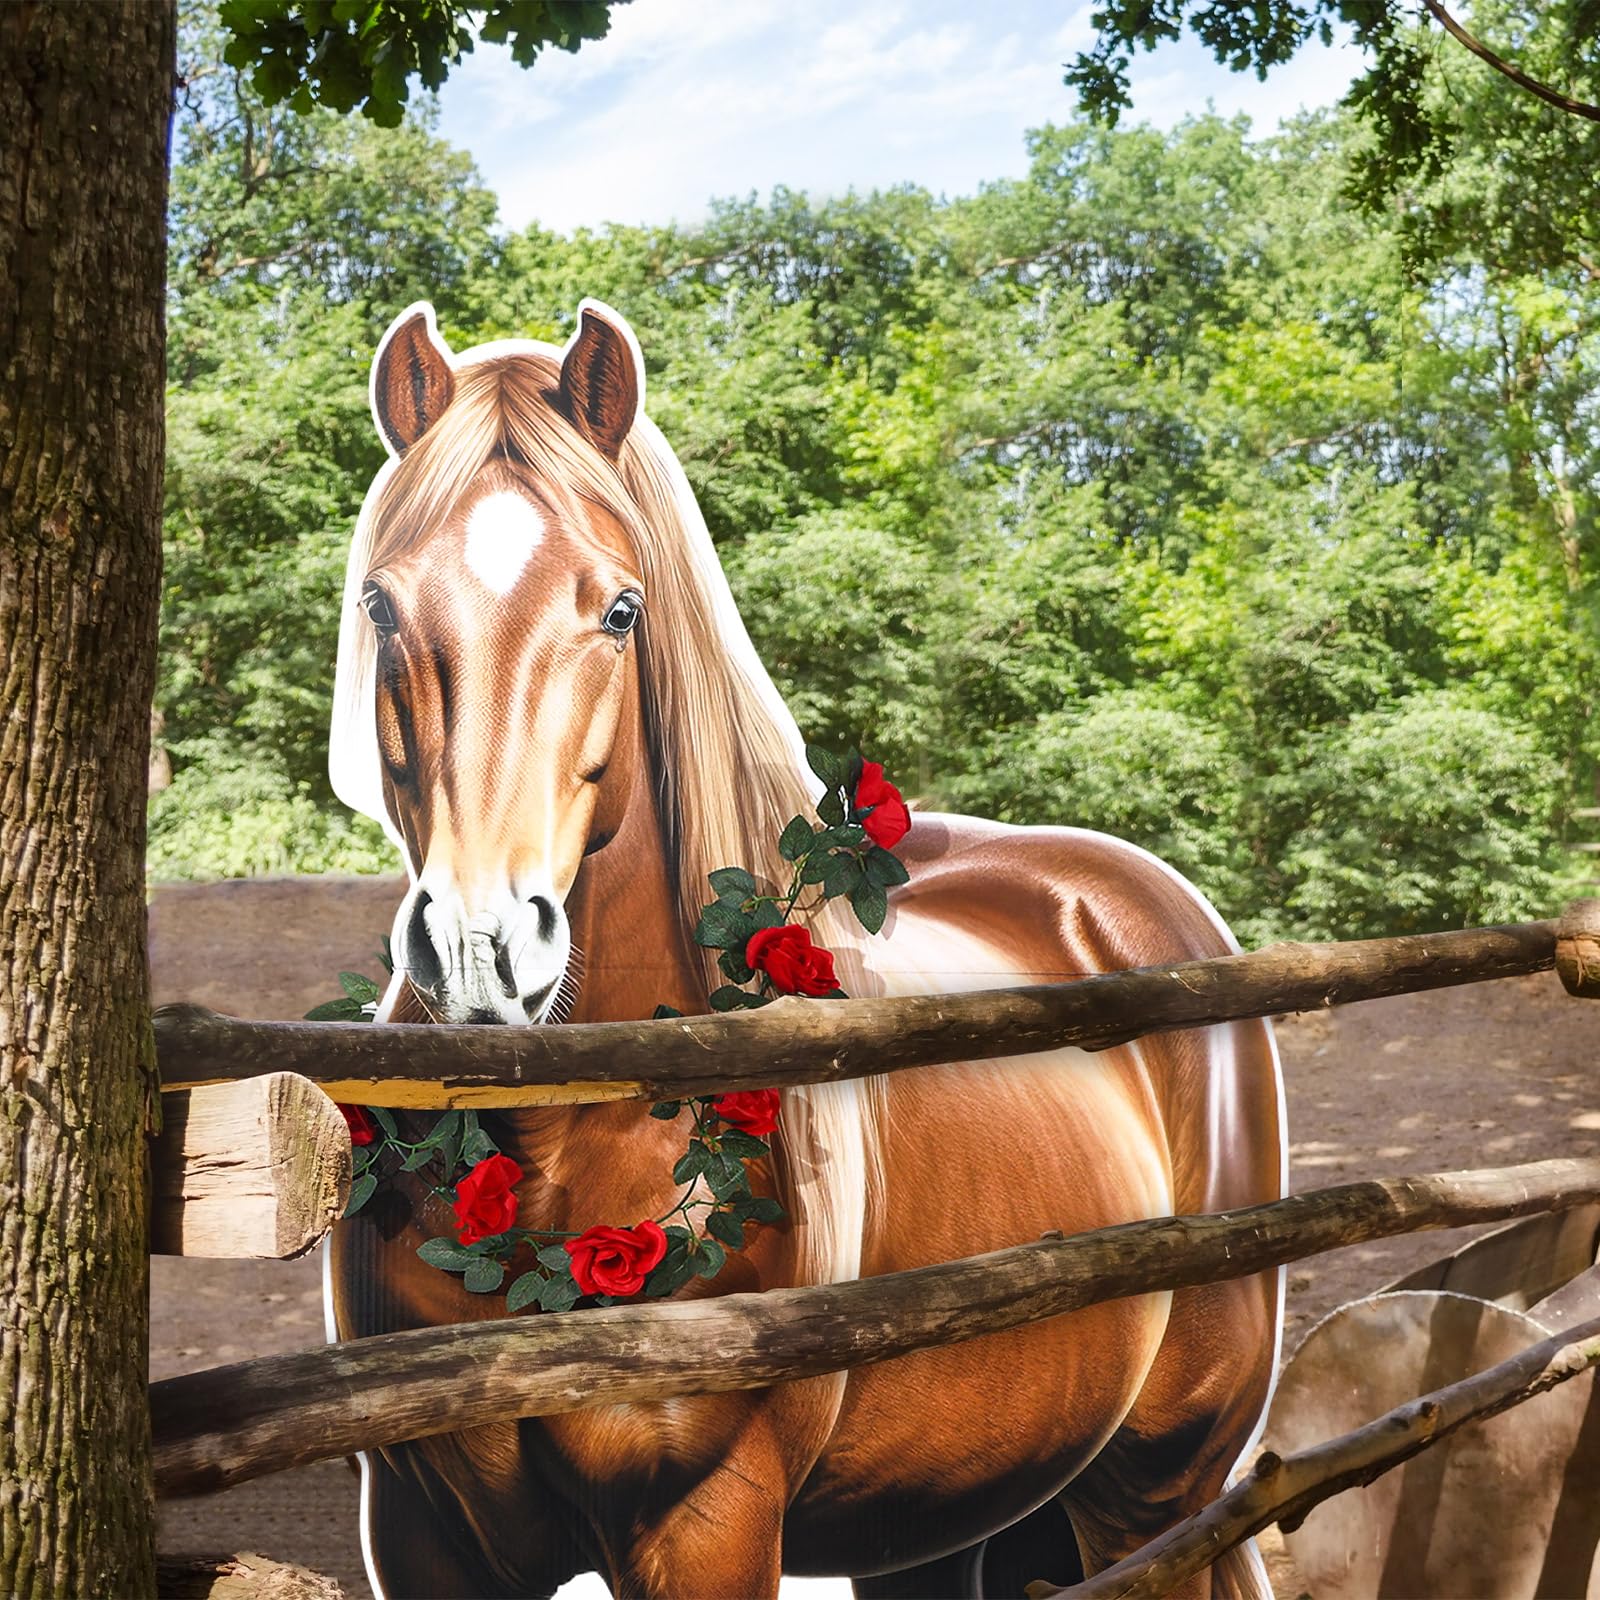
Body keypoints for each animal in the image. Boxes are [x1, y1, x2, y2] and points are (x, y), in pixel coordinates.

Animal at [323, 298, 1287, 1600]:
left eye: (619, 611)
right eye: (380, 604)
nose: (482, 946)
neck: (553, 1154)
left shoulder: (708, 1519)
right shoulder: (427, 1533)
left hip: (1155, 1488)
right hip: (937, 1509)